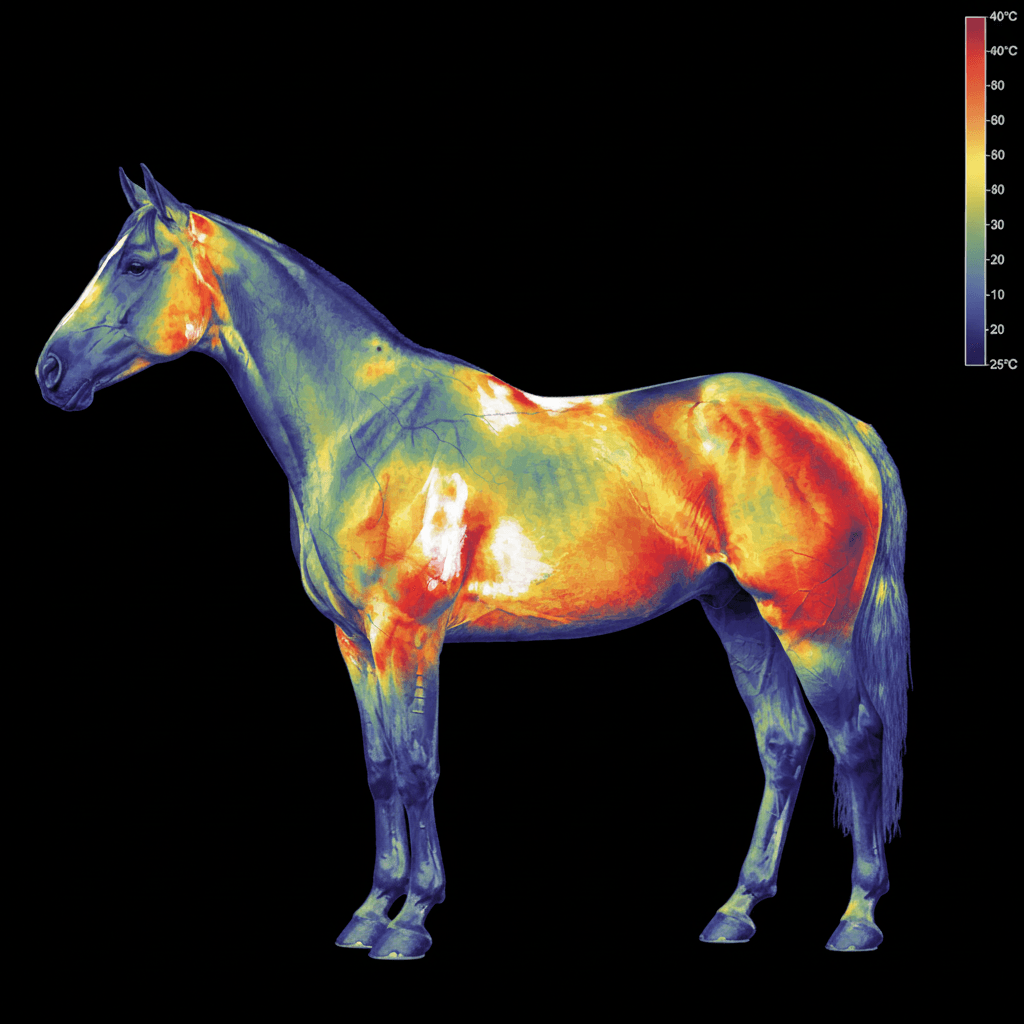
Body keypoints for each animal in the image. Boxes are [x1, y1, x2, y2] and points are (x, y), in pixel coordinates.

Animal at [35, 166, 911, 958]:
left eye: (136, 263)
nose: (49, 371)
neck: (367, 428)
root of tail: (847, 426)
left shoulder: (409, 635)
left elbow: (418, 766)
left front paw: (412, 920)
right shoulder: (354, 641)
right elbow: (380, 766)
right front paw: (369, 912)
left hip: (811, 625)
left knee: (858, 740)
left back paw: (858, 919)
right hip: (737, 613)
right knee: (784, 743)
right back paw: (736, 910)